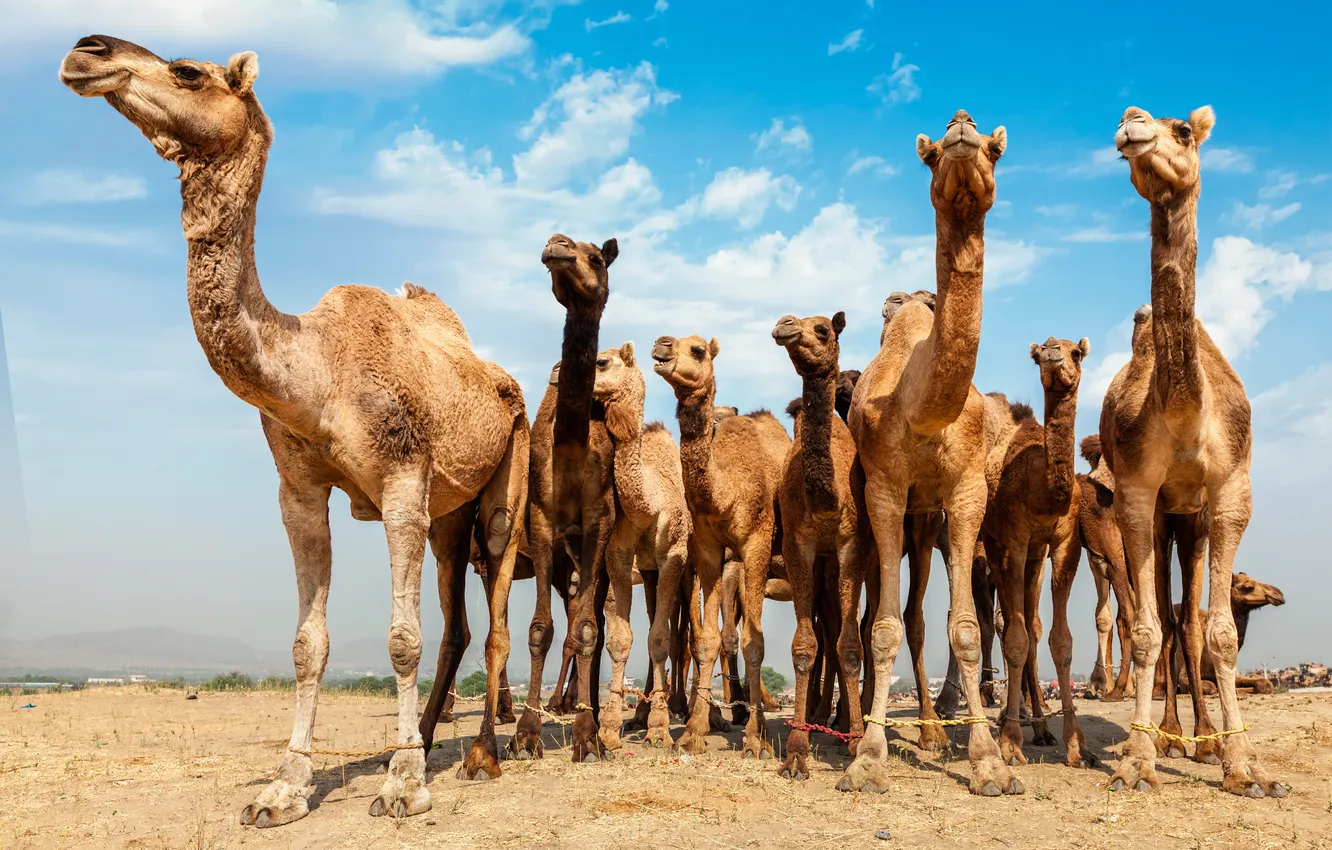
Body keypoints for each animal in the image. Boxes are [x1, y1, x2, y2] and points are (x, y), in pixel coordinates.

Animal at [59, 36, 530, 823]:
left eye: (188, 71)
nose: (86, 52)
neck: (318, 370)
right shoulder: (299, 490)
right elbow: (309, 643)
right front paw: (285, 788)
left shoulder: (402, 479)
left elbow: (401, 638)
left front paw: (403, 785)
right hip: (448, 514)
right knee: (459, 622)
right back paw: (432, 739)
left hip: (506, 475)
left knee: (494, 613)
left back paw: (482, 757)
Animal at [651, 335, 790, 756]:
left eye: (697, 350)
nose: (661, 345)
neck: (726, 490)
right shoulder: (711, 551)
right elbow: (710, 639)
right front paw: (694, 731)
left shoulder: (754, 546)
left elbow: (753, 642)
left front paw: (755, 737)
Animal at [843, 109, 1018, 797]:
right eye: (931, 152)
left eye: (995, 148)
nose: (963, 126)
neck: (921, 405)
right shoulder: (886, 490)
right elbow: (884, 625)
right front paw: (867, 758)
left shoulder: (965, 490)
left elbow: (964, 627)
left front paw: (989, 762)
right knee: (892, 617)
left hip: (928, 523)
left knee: (922, 616)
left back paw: (935, 733)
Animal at [982, 337, 1098, 770]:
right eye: (1038, 355)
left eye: (1076, 352)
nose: (1051, 353)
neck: (1044, 492)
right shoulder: (1015, 539)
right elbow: (1015, 638)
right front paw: (1011, 744)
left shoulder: (1065, 543)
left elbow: (1059, 640)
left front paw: (1077, 745)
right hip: (994, 545)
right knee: (1008, 624)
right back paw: (1009, 721)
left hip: (1035, 556)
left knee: (1032, 624)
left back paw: (1042, 728)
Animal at [1100, 104, 1284, 797]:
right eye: (1131, 126)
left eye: (1183, 131)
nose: (1132, 126)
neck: (1183, 408)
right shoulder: (1134, 493)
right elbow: (1148, 629)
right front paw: (1139, 761)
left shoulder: (1231, 489)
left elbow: (1221, 632)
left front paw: (1243, 767)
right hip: (1164, 516)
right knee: (1170, 615)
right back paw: (1172, 736)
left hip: (1195, 517)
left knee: (1191, 619)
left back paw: (1203, 740)